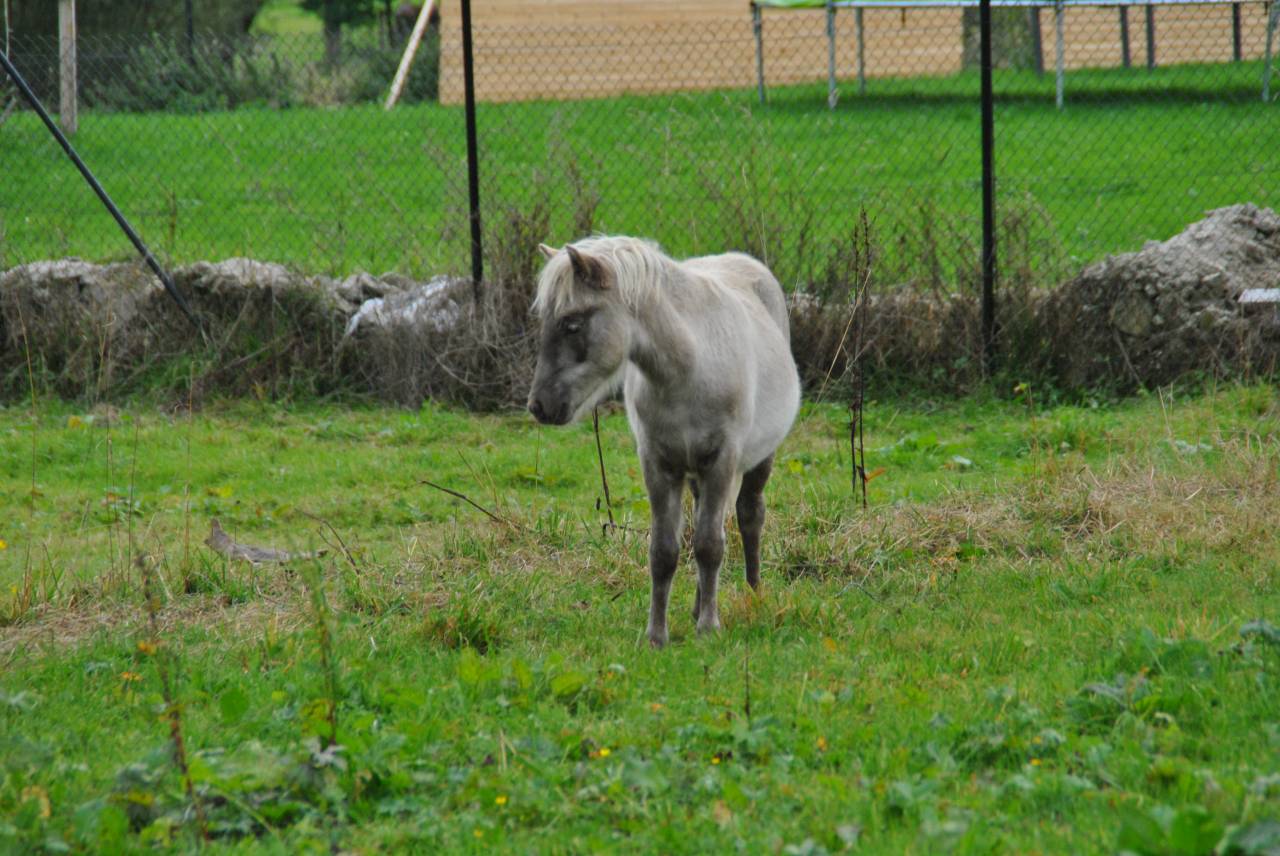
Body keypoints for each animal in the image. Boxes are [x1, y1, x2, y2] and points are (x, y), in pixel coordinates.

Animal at [527, 236, 800, 647]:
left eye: (572, 324)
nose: (540, 406)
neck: (688, 366)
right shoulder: (658, 466)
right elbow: (664, 552)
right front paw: (657, 635)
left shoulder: (721, 462)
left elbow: (709, 545)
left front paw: (709, 628)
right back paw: (700, 606)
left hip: (756, 461)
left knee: (749, 516)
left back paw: (753, 595)